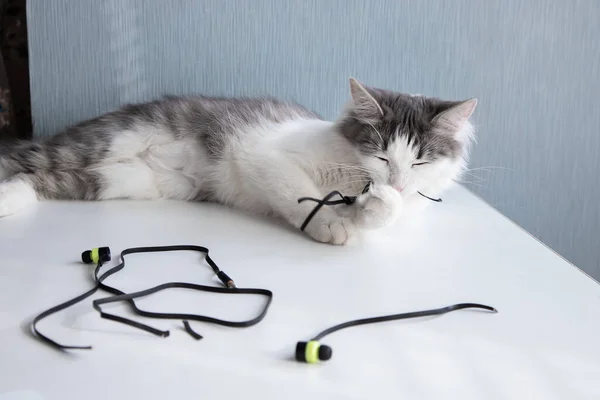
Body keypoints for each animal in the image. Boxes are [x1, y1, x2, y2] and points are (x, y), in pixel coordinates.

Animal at [0, 79, 478, 244]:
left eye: (419, 163)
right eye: (381, 153)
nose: (395, 181)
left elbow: (382, 214)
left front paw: (378, 204)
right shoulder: (264, 155)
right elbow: (301, 195)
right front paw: (329, 225)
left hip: (117, 180)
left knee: (39, 179)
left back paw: (10, 201)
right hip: (107, 142)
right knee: (23, 159)